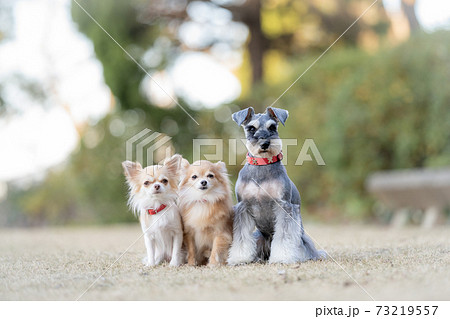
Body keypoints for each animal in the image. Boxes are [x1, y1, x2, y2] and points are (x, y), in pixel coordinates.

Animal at [227, 107, 326, 264]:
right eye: (251, 128)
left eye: (272, 127)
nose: (264, 144)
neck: (262, 165)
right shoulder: (243, 207)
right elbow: (241, 237)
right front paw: (239, 258)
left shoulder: (284, 206)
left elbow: (283, 237)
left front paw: (282, 257)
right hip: (258, 236)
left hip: (302, 241)